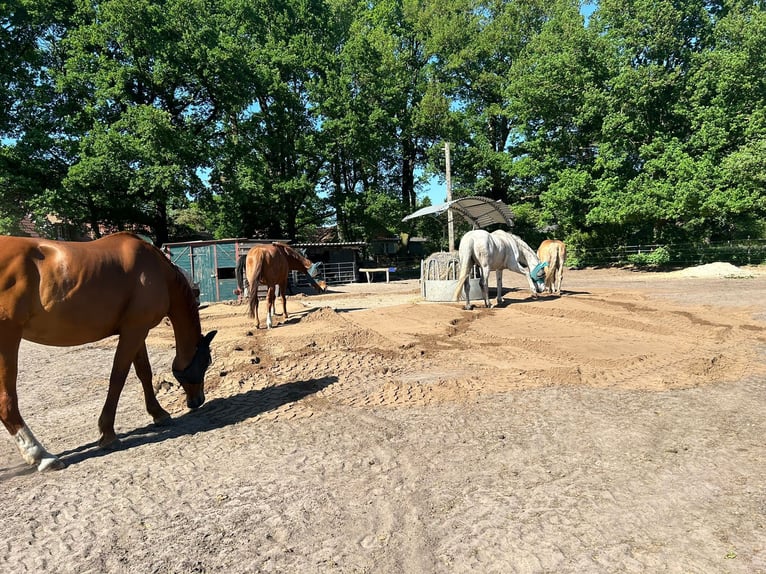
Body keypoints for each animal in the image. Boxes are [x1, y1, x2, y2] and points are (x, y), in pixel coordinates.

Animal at [0, 233, 218, 472]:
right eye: (206, 362)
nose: (198, 400)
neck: (158, 271)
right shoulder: (134, 330)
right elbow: (118, 378)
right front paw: (108, 434)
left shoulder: (136, 331)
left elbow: (144, 373)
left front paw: (159, 414)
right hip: (8, 339)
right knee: (6, 401)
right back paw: (40, 455)